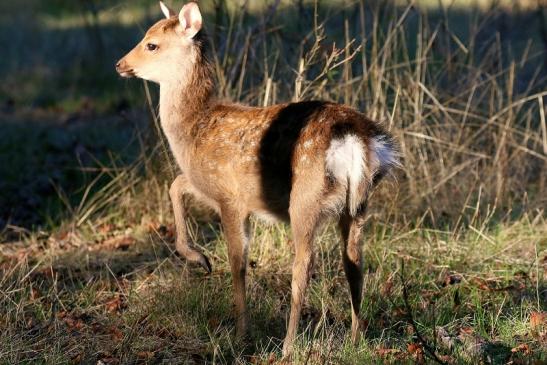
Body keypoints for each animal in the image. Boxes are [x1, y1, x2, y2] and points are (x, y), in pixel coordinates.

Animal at [115, 0, 400, 356]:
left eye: (151, 44)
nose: (120, 64)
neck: (195, 130)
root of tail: (354, 136)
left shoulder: (230, 195)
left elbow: (238, 263)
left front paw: (241, 335)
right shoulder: (207, 183)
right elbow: (176, 185)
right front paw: (199, 259)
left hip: (305, 197)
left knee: (303, 266)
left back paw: (288, 346)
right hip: (358, 202)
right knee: (354, 263)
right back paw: (355, 338)